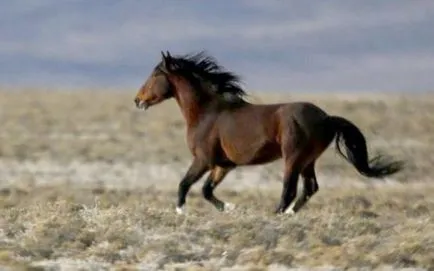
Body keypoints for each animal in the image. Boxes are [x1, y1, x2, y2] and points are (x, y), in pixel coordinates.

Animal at [133, 51, 404, 216]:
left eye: (155, 74)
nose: (138, 100)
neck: (207, 112)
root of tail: (326, 118)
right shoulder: (224, 165)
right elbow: (206, 191)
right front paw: (229, 207)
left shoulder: (203, 160)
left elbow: (184, 184)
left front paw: (181, 212)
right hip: (308, 160)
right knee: (310, 188)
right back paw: (290, 214)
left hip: (293, 158)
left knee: (290, 189)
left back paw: (278, 214)